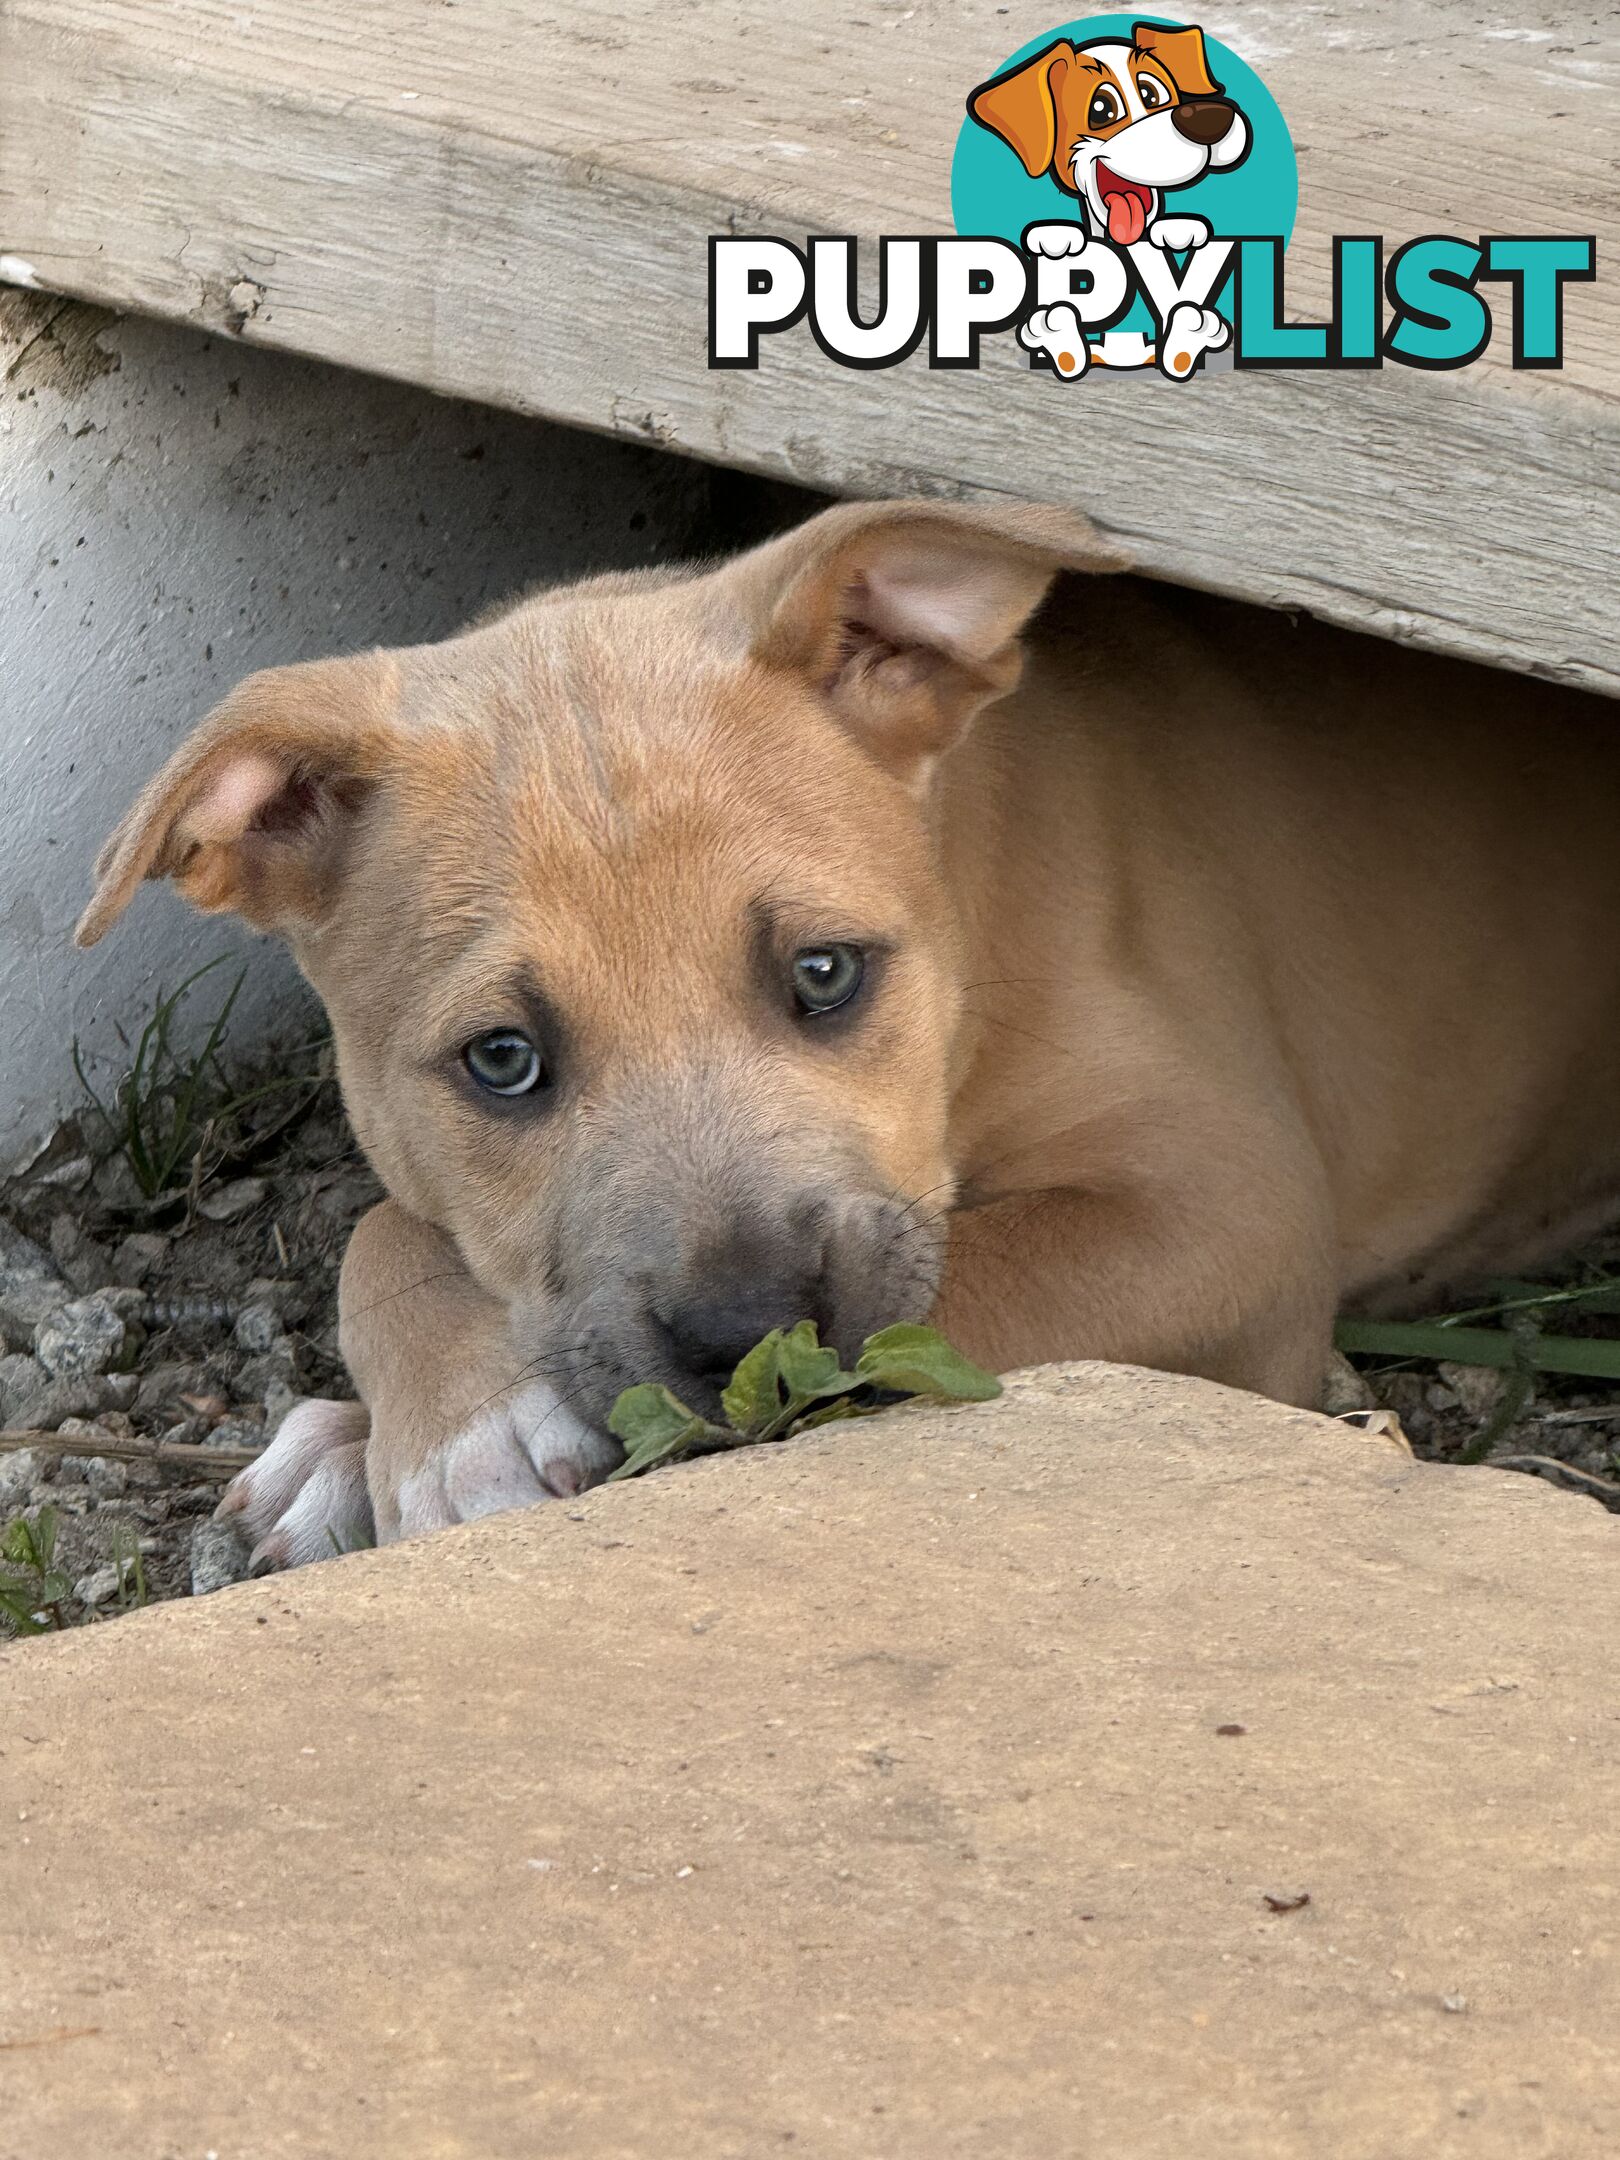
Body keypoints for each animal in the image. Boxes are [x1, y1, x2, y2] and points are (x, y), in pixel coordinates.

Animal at [82, 496, 1620, 1563]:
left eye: (825, 974)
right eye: (501, 1061)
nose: (747, 1327)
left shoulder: (1222, 1207)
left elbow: (954, 1294)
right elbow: (381, 1225)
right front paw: (427, 1429)